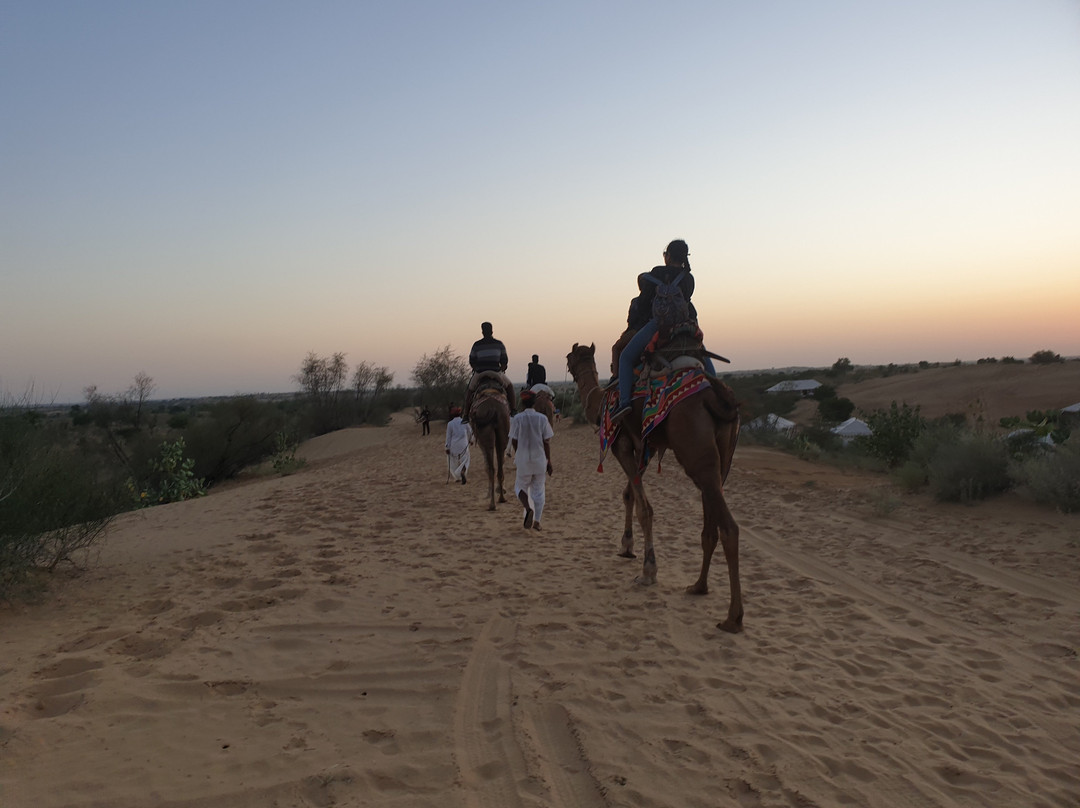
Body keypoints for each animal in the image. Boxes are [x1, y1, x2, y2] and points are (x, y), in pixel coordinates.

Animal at [468, 380, 509, 512]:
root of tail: (493, 408)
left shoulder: (480, 442)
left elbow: (486, 466)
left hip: (484, 437)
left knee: (491, 468)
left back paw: (492, 504)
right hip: (502, 433)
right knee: (499, 466)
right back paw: (501, 498)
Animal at [565, 341, 743, 630]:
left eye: (569, 357)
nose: (568, 366)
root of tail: (717, 398)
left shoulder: (620, 445)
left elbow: (644, 508)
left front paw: (648, 571)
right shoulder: (642, 449)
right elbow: (628, 495)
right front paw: (627, 547)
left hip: (694, 449)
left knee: (729, 527)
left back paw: (732, 618)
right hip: (723, 455)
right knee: (711, 521)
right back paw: (698, 586)